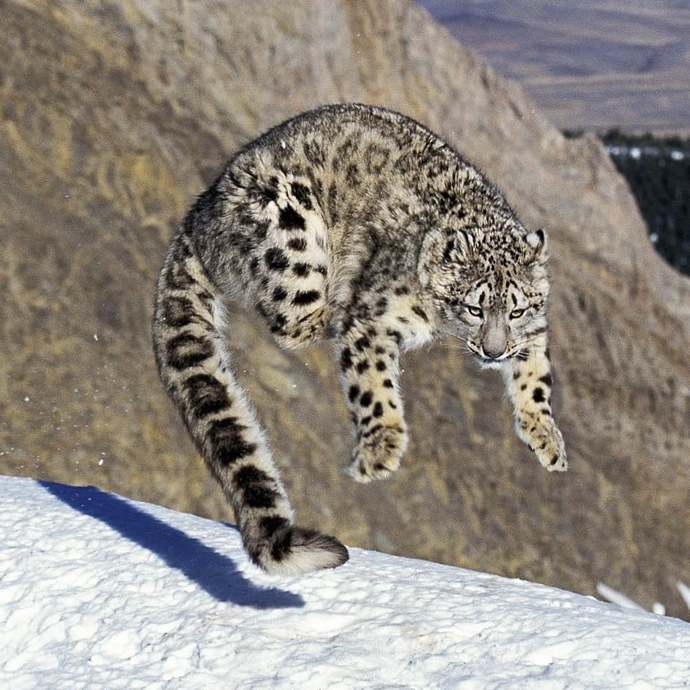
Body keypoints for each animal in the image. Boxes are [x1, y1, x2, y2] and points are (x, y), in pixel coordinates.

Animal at [152, 103, 567, 576]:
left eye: (516, 310)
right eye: (473, 308)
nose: (494, 351)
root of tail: (201, 210)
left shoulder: (533, 332)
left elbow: (536, 378)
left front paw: (546, 438)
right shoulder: (375, 319)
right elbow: (374, 386)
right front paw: (380, 451)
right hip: (291, 232)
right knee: (294, 322)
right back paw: (334, 305)